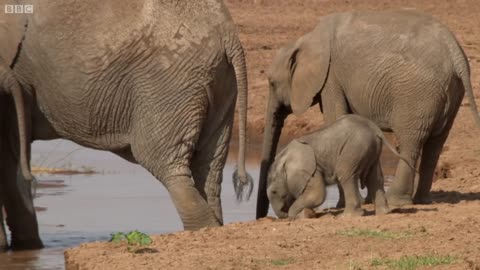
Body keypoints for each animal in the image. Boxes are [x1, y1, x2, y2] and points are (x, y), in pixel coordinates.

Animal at [0, 0, 253, 251]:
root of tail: (227, 35)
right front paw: (25, 247)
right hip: (219, 84)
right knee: (208, 170)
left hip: (169, 82)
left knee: (165, 165)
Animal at [266, 113, 404, 217]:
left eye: (274, 192)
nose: (282, 214)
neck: (283, 158)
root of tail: (375, 129)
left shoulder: (308, 170)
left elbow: (317, 194)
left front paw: (298, 215)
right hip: (372, 149)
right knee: (375, 177)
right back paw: (384, 213)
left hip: (355, 147)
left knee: (345, 174)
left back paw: (347, 216)